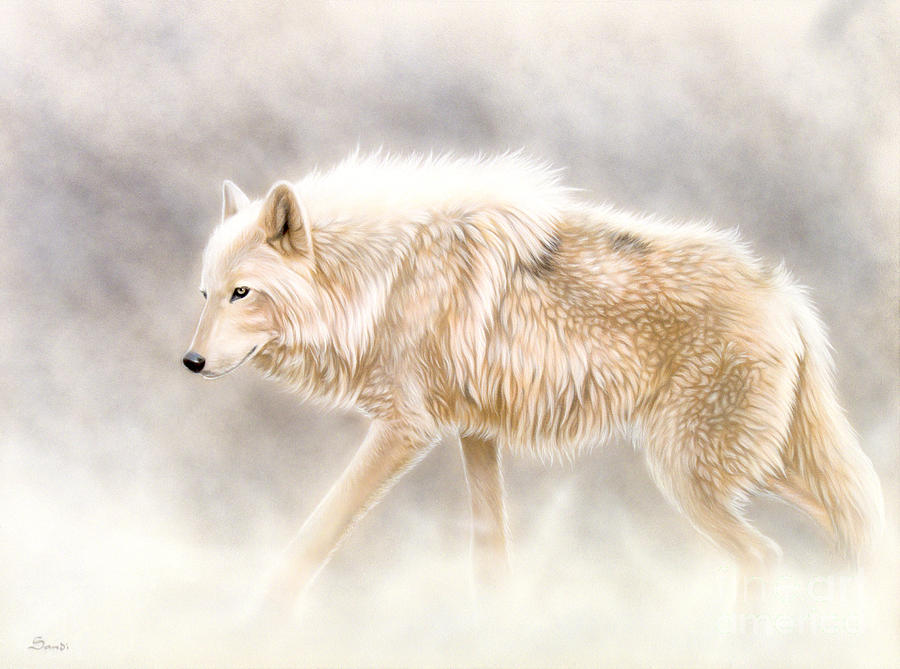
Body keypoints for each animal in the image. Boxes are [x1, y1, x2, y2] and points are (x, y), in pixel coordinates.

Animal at [183, 152, 883, 608]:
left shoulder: (406, 432)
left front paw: (260, 617)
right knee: (856, 519)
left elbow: (315, 532)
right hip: (760, 467)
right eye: (206, 294)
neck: (386, 279)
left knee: (767, 554)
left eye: (243, 293)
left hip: (692, 473)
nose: (189, 362)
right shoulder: (474, 433)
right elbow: (491, 558)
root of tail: (786, 297)